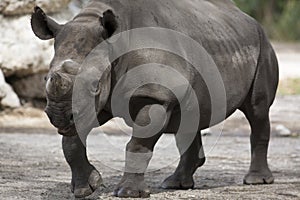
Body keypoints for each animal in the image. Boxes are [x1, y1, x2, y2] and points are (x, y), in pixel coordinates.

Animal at [31, 0, 278, 198]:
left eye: (95, 86)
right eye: (45, 78)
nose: (59, 117)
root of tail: (250, 20)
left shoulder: (153, 95)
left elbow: (137, 144)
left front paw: (128, 193)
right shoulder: (91, 105)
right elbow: (71, 141)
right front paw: (86, 188)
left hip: (263, 47)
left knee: (257, 110)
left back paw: (256, 181)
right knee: (188, 117)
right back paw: (176, 184)